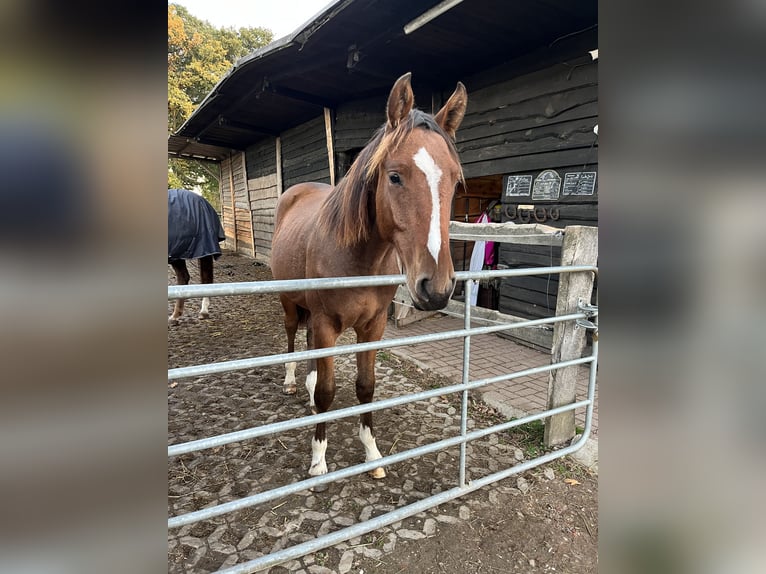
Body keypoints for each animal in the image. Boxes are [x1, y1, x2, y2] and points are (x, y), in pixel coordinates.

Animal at [272, 73, 468, 482]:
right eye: (394, 177)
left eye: (455, 182)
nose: (436, 288)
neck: (357, 259)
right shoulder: (327, 324)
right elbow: (328, 392)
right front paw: (319, 461)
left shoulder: (373, 326)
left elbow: (365, 387)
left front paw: (373, 454)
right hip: (289, 302)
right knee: (292, 336)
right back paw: (292, 382)